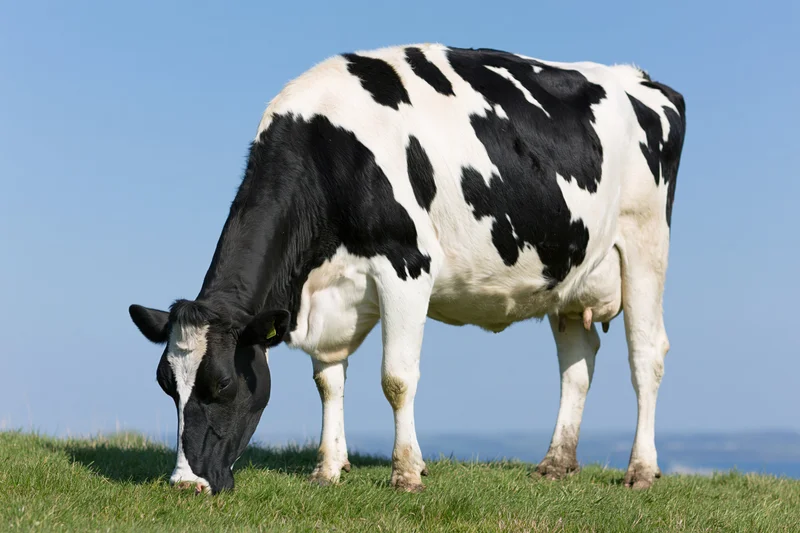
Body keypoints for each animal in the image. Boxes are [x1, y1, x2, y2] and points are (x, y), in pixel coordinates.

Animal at [128, 43, 686, 495]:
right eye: (165, 384)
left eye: (222, 384)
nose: (185, 484)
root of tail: (640, 79)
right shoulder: (329, 294)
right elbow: (328, 379)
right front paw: (328, 468)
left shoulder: (406, 264)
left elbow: (396, 378)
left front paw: (407, 473)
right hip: (570, 273)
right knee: (577, 362)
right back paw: (556, 463)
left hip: (644, 244)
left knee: (647, 356)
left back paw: (640, 470)